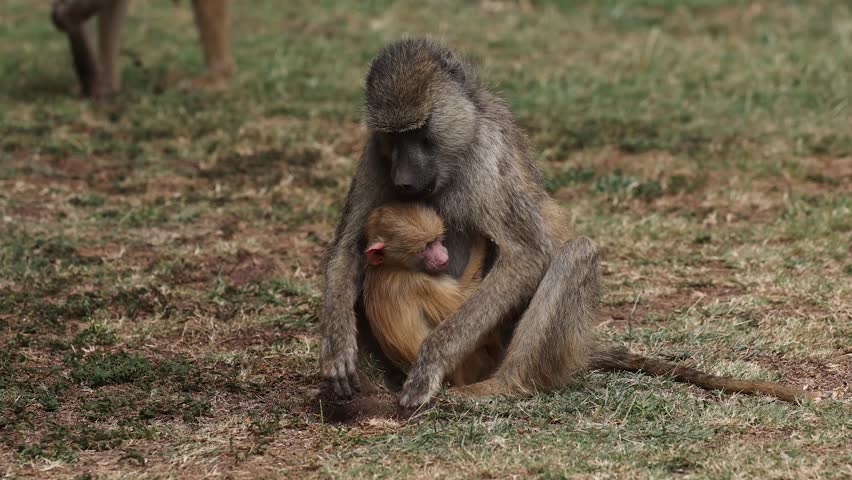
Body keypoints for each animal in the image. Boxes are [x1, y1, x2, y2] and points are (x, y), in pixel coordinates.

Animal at [362, 203, 504, 387]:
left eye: (436, 240)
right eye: (427, 246)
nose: (443, 254)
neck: (391, 266)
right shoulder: (417, 283)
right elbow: (462, 303)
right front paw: (479, 241)